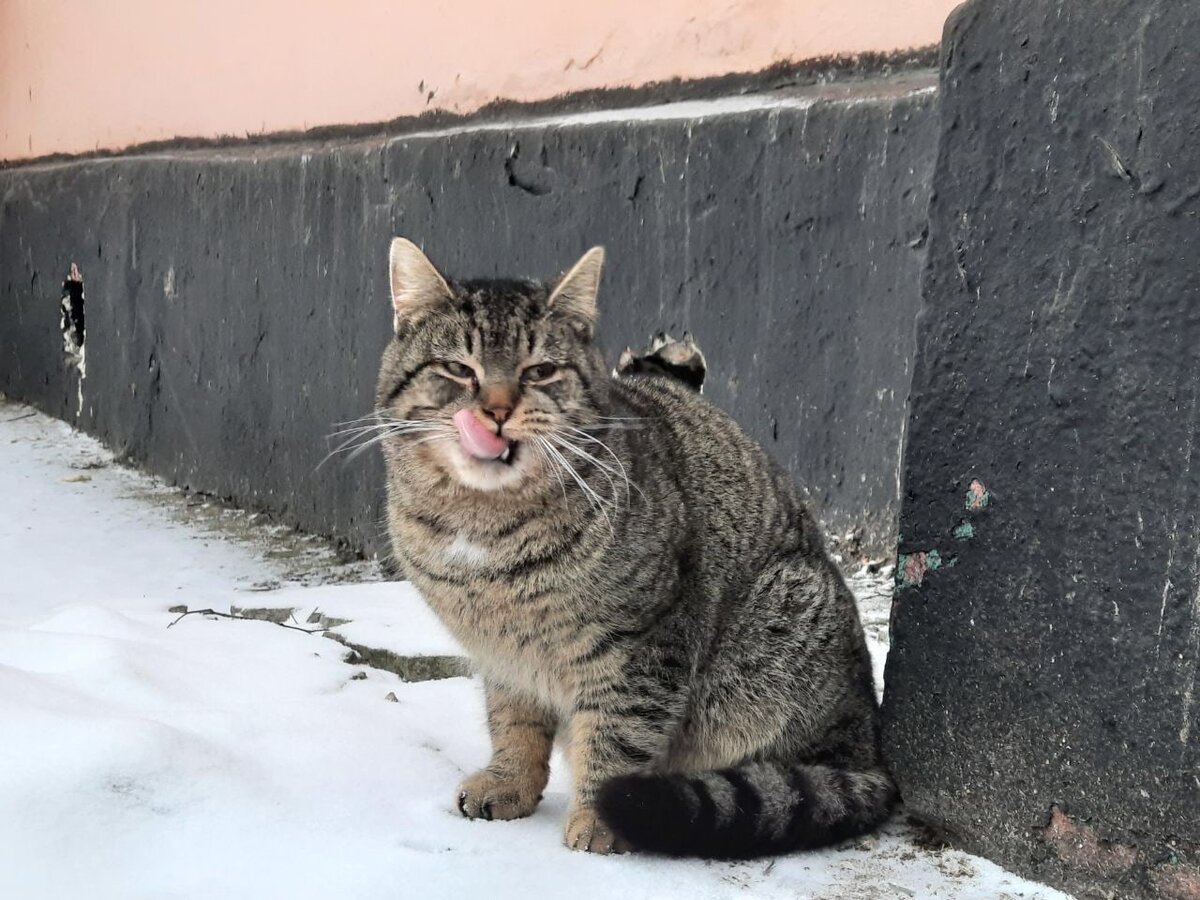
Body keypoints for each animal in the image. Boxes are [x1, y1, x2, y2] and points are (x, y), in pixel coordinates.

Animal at [379, 236, 897, 854]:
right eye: (459, 369)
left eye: (541, 370)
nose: (497, 411)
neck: (485, 526)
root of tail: (871, 755)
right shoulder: (504, 654)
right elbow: (513, 721)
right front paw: (509, 782)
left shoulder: (643, 642)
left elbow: (618, 733)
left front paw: (599, 818)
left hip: (780, 627)